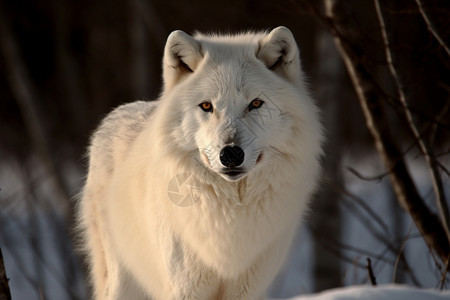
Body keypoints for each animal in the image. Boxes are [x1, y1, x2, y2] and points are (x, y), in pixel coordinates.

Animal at [77, 26, 324, 300]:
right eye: (207, 105)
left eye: (256, 103)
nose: (231, 154)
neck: (230, 213)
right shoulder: (185, 288)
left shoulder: (248, 289)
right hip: (123, 281)